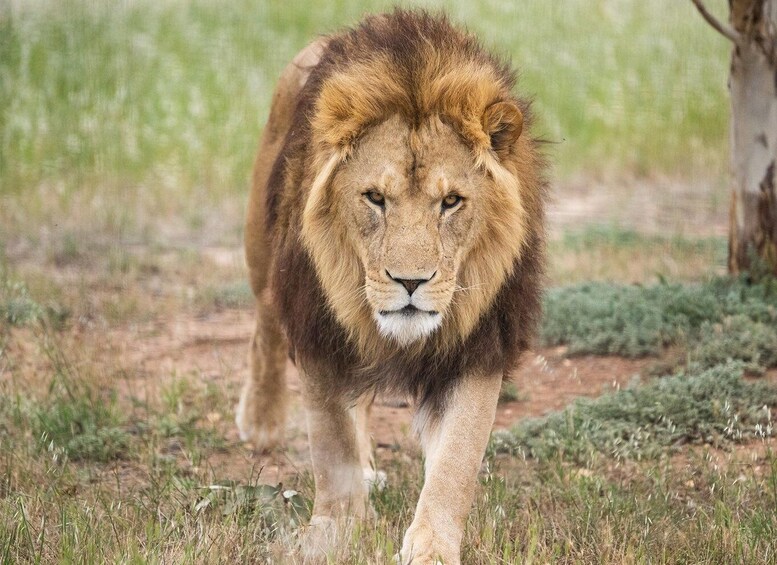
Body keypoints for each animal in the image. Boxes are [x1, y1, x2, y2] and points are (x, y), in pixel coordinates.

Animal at [236, 10, 547, 564]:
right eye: (375, 198)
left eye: (451, 201)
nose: (409, 281)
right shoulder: (319, 331)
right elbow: (331, 442)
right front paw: (335, 532)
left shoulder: (479, 344)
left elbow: (457, 459)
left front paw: (432, 547)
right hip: (261, 246)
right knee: (266, 318)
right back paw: (262, 419)